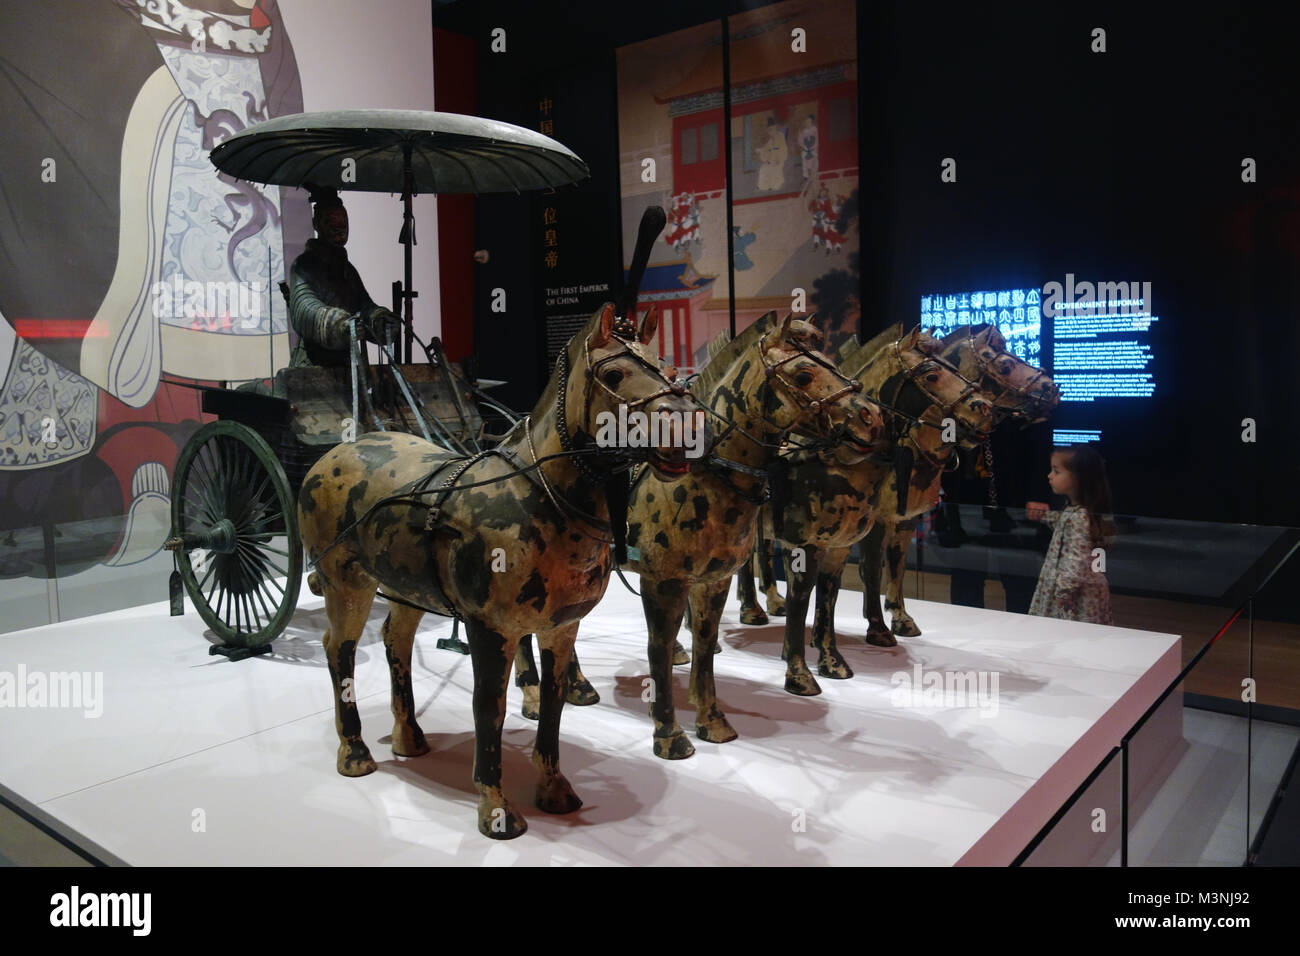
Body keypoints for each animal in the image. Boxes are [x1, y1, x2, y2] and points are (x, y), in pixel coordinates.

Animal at [297, 303, 702, 842]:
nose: (690, 430)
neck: (537, 495)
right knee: (338, 651)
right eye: (614, 374)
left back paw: (409, 737)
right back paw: (356, 750)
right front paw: (496, 808)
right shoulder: (490, 630)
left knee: (395, 642)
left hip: (405, 590)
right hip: (348, 586)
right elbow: (488, 707)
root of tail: (330, 455)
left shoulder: (561, 628)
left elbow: (552, 703)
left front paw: (553, 788)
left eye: (668, 369)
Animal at [618, 310, 883, 759]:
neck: (704, 472)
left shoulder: (714, 580)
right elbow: (658, 647)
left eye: (832, 360)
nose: (871, 417)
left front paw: (711, 719)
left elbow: (706, 641)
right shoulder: (664, 581)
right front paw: (669, 734)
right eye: (804, 373)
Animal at [733, 329, 993, 686]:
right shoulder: (819, 539)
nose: (985, 408)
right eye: (931, 373)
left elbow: (842, 589)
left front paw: (829, 652)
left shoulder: (873, 530)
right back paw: (750, 612)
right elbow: (860, 575)